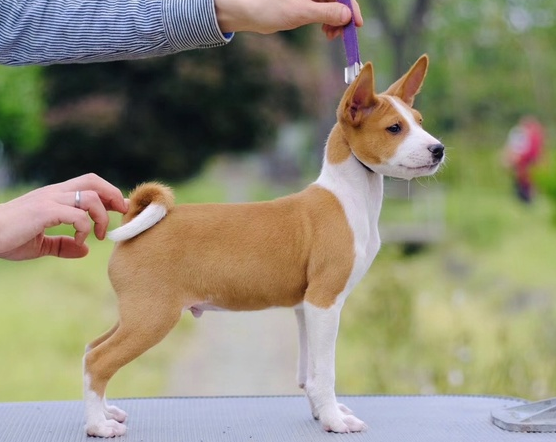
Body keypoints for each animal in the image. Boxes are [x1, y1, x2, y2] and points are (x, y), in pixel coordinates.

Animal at [84, 54, 446, 436]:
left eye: (419, 122)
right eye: (394, 128)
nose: (438, 149)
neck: (349, 197)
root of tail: (136, 221)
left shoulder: (305, 306)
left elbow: (308, 373)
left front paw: (321, 413)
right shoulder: (325, 301)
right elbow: (325, 373)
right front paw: (334, 420)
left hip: (135, 313)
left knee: (92, 348)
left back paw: (107, 413)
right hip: (152, 316)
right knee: (98, 360)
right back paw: (98, 425)